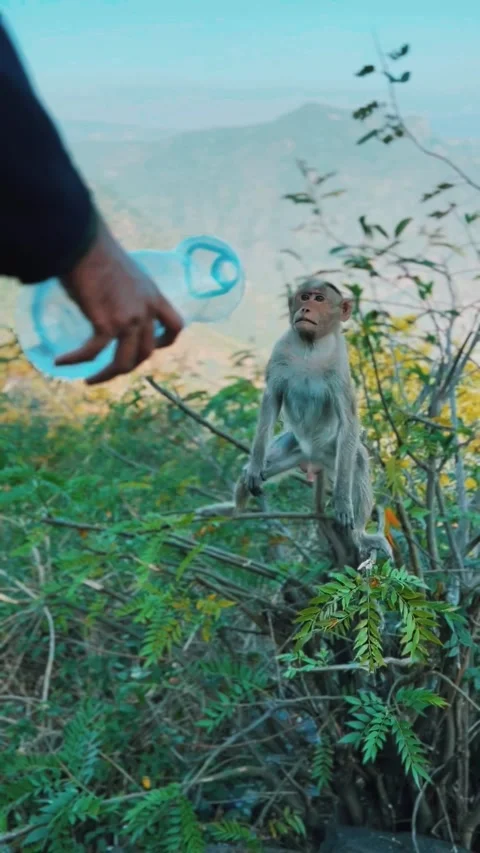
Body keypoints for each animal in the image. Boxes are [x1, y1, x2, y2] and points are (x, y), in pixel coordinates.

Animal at [198, 278, 392, 561]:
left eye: (319, 299)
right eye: (304, 296)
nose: (305, 309)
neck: (310, 348)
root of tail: (312, 460)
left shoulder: (340, 366)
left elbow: (348, 422)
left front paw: (342, 502)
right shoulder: (281, 352)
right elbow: (271, 401)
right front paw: (253, 468)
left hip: (332, 454)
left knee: (356, 460)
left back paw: (360, 536)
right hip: (291, 450)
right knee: (253, 471)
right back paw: (233, 509)